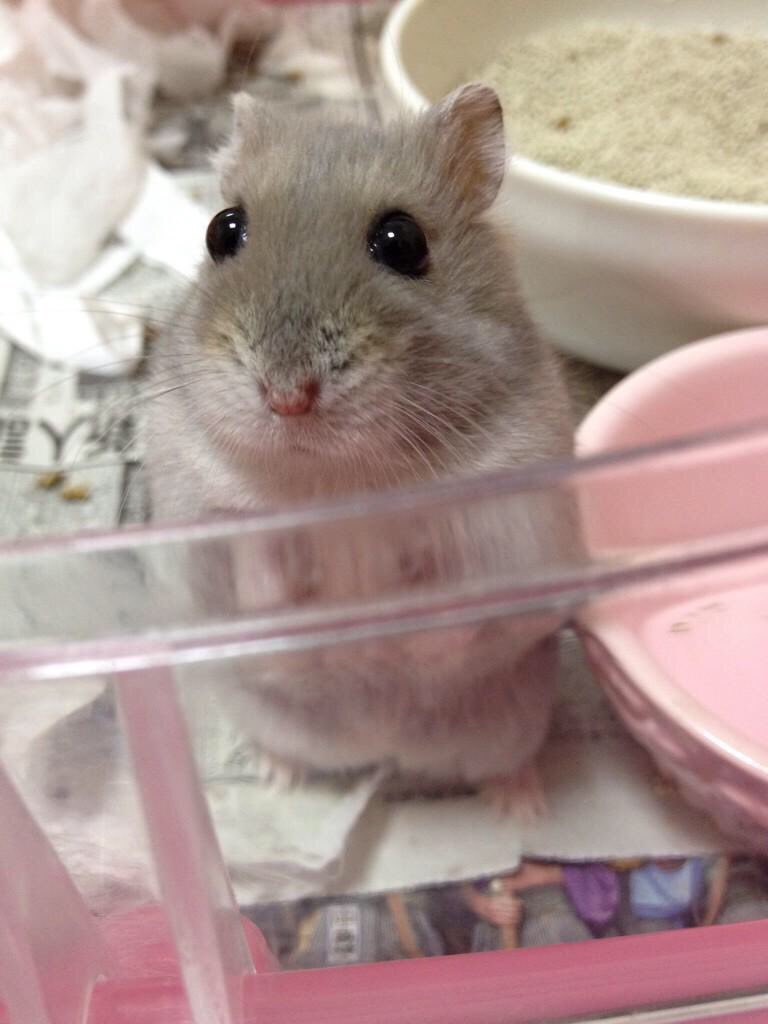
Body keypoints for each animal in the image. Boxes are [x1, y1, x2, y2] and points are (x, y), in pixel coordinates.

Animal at [146, 83, 576, 808]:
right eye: (222, 230)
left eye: (403, 241)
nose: (287, 395)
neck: (340, 480)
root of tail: (385, 751)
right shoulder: (214, 517)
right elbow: (258, 580)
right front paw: (323, 636)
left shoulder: (501, 521)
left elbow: (460, 601)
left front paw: (395, 641)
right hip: (269, 715)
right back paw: (277, 778)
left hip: (515, 721)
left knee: (503, 759)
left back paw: (523, 805)